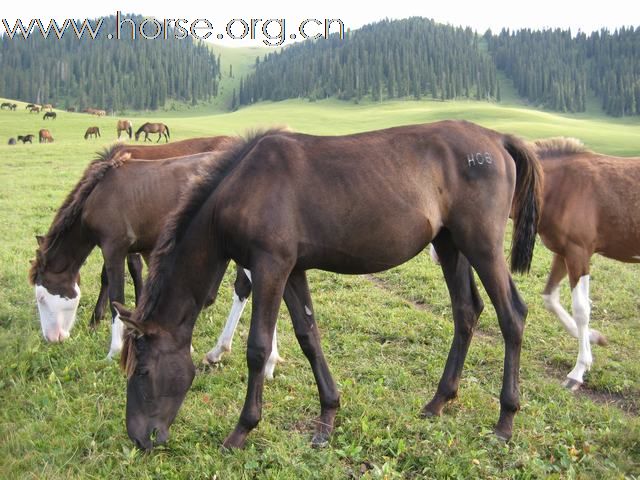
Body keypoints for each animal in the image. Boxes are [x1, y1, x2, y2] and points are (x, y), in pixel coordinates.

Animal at [112, 122, 544, 452]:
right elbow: (309, 337)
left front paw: (242, 430)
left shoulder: (270, 266)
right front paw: (328, 416)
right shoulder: (292, 270)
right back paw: (439, 401)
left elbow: (258, 348)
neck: (243, 189)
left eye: (143, 371)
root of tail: (497, 139)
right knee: (466, 312)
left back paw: (506, 420)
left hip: (481, 245)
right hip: (450, 243)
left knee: (512, 316)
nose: (139, 438)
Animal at [528, 138, 640, 390]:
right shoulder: (564, 253)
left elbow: (581, 310)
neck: (561, 186)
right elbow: (550, 298)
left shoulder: (579, 253)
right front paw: (595, 337)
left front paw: (577, 372)